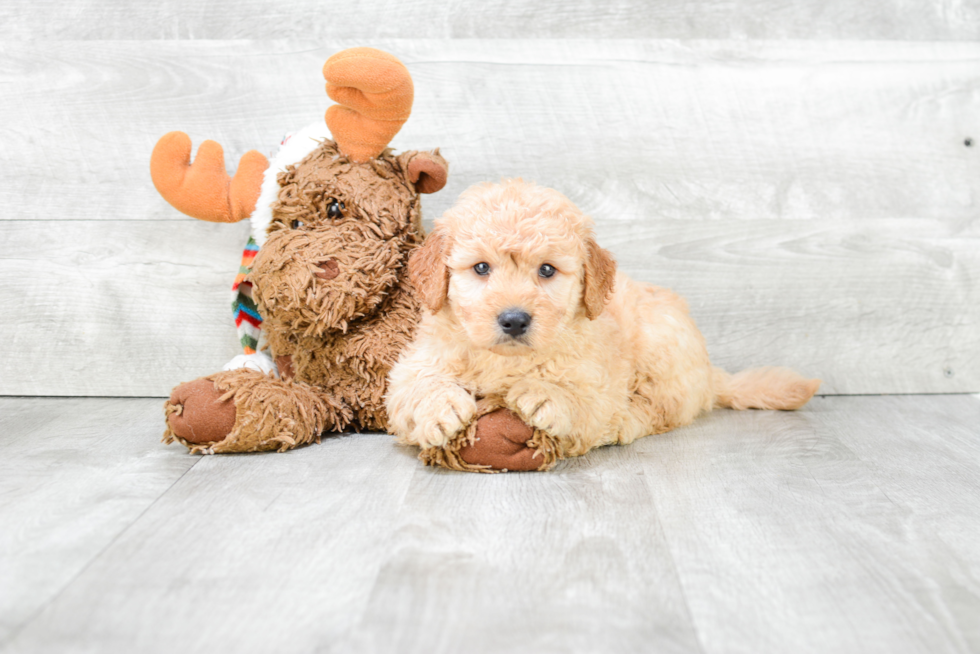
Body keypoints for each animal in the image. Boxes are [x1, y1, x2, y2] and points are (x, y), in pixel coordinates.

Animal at [386, 179, 824, 472]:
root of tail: (710, 374)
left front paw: (546, 394)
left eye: (547, 270)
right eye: (480, 268)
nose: (513, 319)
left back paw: (624, 424)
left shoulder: (600, 378)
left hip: (663, 348)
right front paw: (439, 408)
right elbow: (415, 385)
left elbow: (583, 397)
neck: (507, 361)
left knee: (658, 412)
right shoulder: (416, 361)